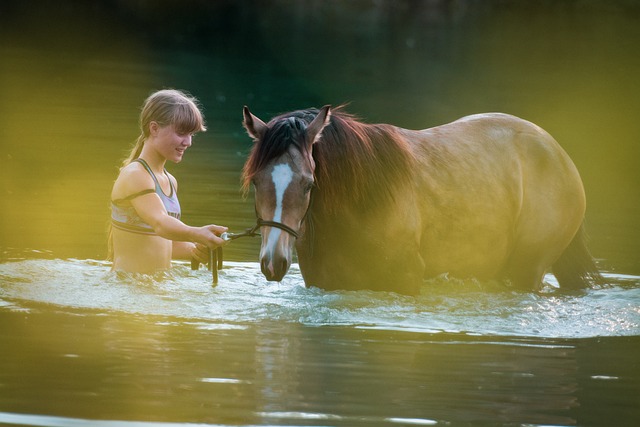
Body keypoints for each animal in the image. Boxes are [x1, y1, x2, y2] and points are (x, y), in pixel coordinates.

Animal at [239, 105, 600, 296]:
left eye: (308, 184)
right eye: (256, 181)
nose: (273, 262)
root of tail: (558, 153)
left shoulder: (406, 281)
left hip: (529, 271)